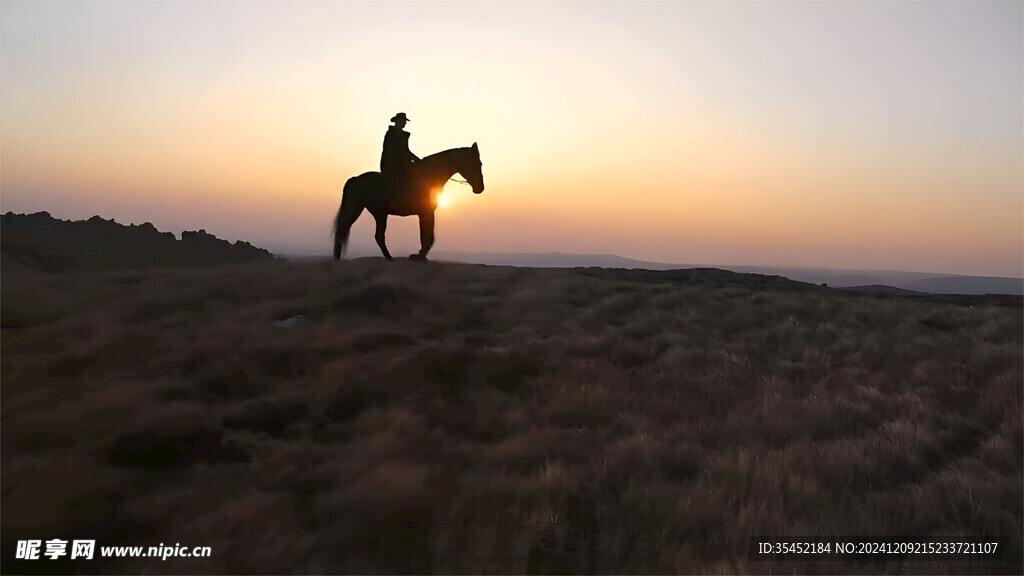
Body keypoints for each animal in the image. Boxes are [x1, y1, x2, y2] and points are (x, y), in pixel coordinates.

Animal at [331, 143, 483, 260]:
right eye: (477, 163)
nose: (480, 188)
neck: (429, 176)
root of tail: (356, 179)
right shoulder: (425, 212)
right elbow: (427, 236)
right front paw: (419, 256)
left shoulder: (427, 212)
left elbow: (428, 234)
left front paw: (420, 255)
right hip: (373, 212)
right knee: (364, 233)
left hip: (370, 211)